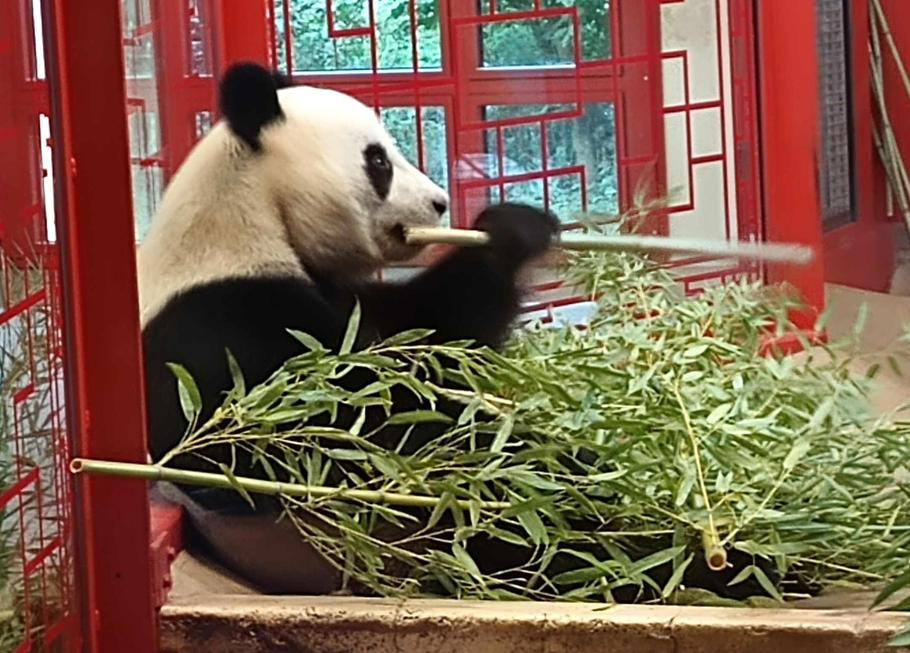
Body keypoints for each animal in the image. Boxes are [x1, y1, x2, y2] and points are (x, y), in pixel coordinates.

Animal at [138, 62, 559, 593]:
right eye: (377, 160)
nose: (440, 203)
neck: (251, 217)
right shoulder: (215, 325)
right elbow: (353, 422)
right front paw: (506, 236)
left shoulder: (346, 295)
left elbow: (423, 333)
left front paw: (518, 223)